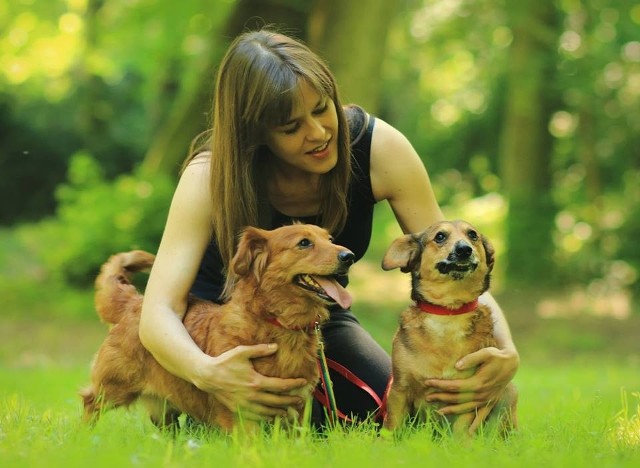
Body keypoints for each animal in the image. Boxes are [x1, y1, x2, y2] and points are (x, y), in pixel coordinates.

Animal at [80, 223, 356, 432]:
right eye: (304, 243)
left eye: (330, 239)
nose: (349, 256)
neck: (277, 324)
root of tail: (134, 303)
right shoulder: (242, 410)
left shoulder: (297, 409)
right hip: (112, 388)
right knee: (90, 404)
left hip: (164, 408)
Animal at [382, 219, 516, 436]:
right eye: (440, 236)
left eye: (472, 235)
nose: (464, 249)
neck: (449, 312)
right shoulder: (399, 390)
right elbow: (391, 426)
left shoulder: (467, 395)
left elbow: (460, 431)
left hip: (509, 392)